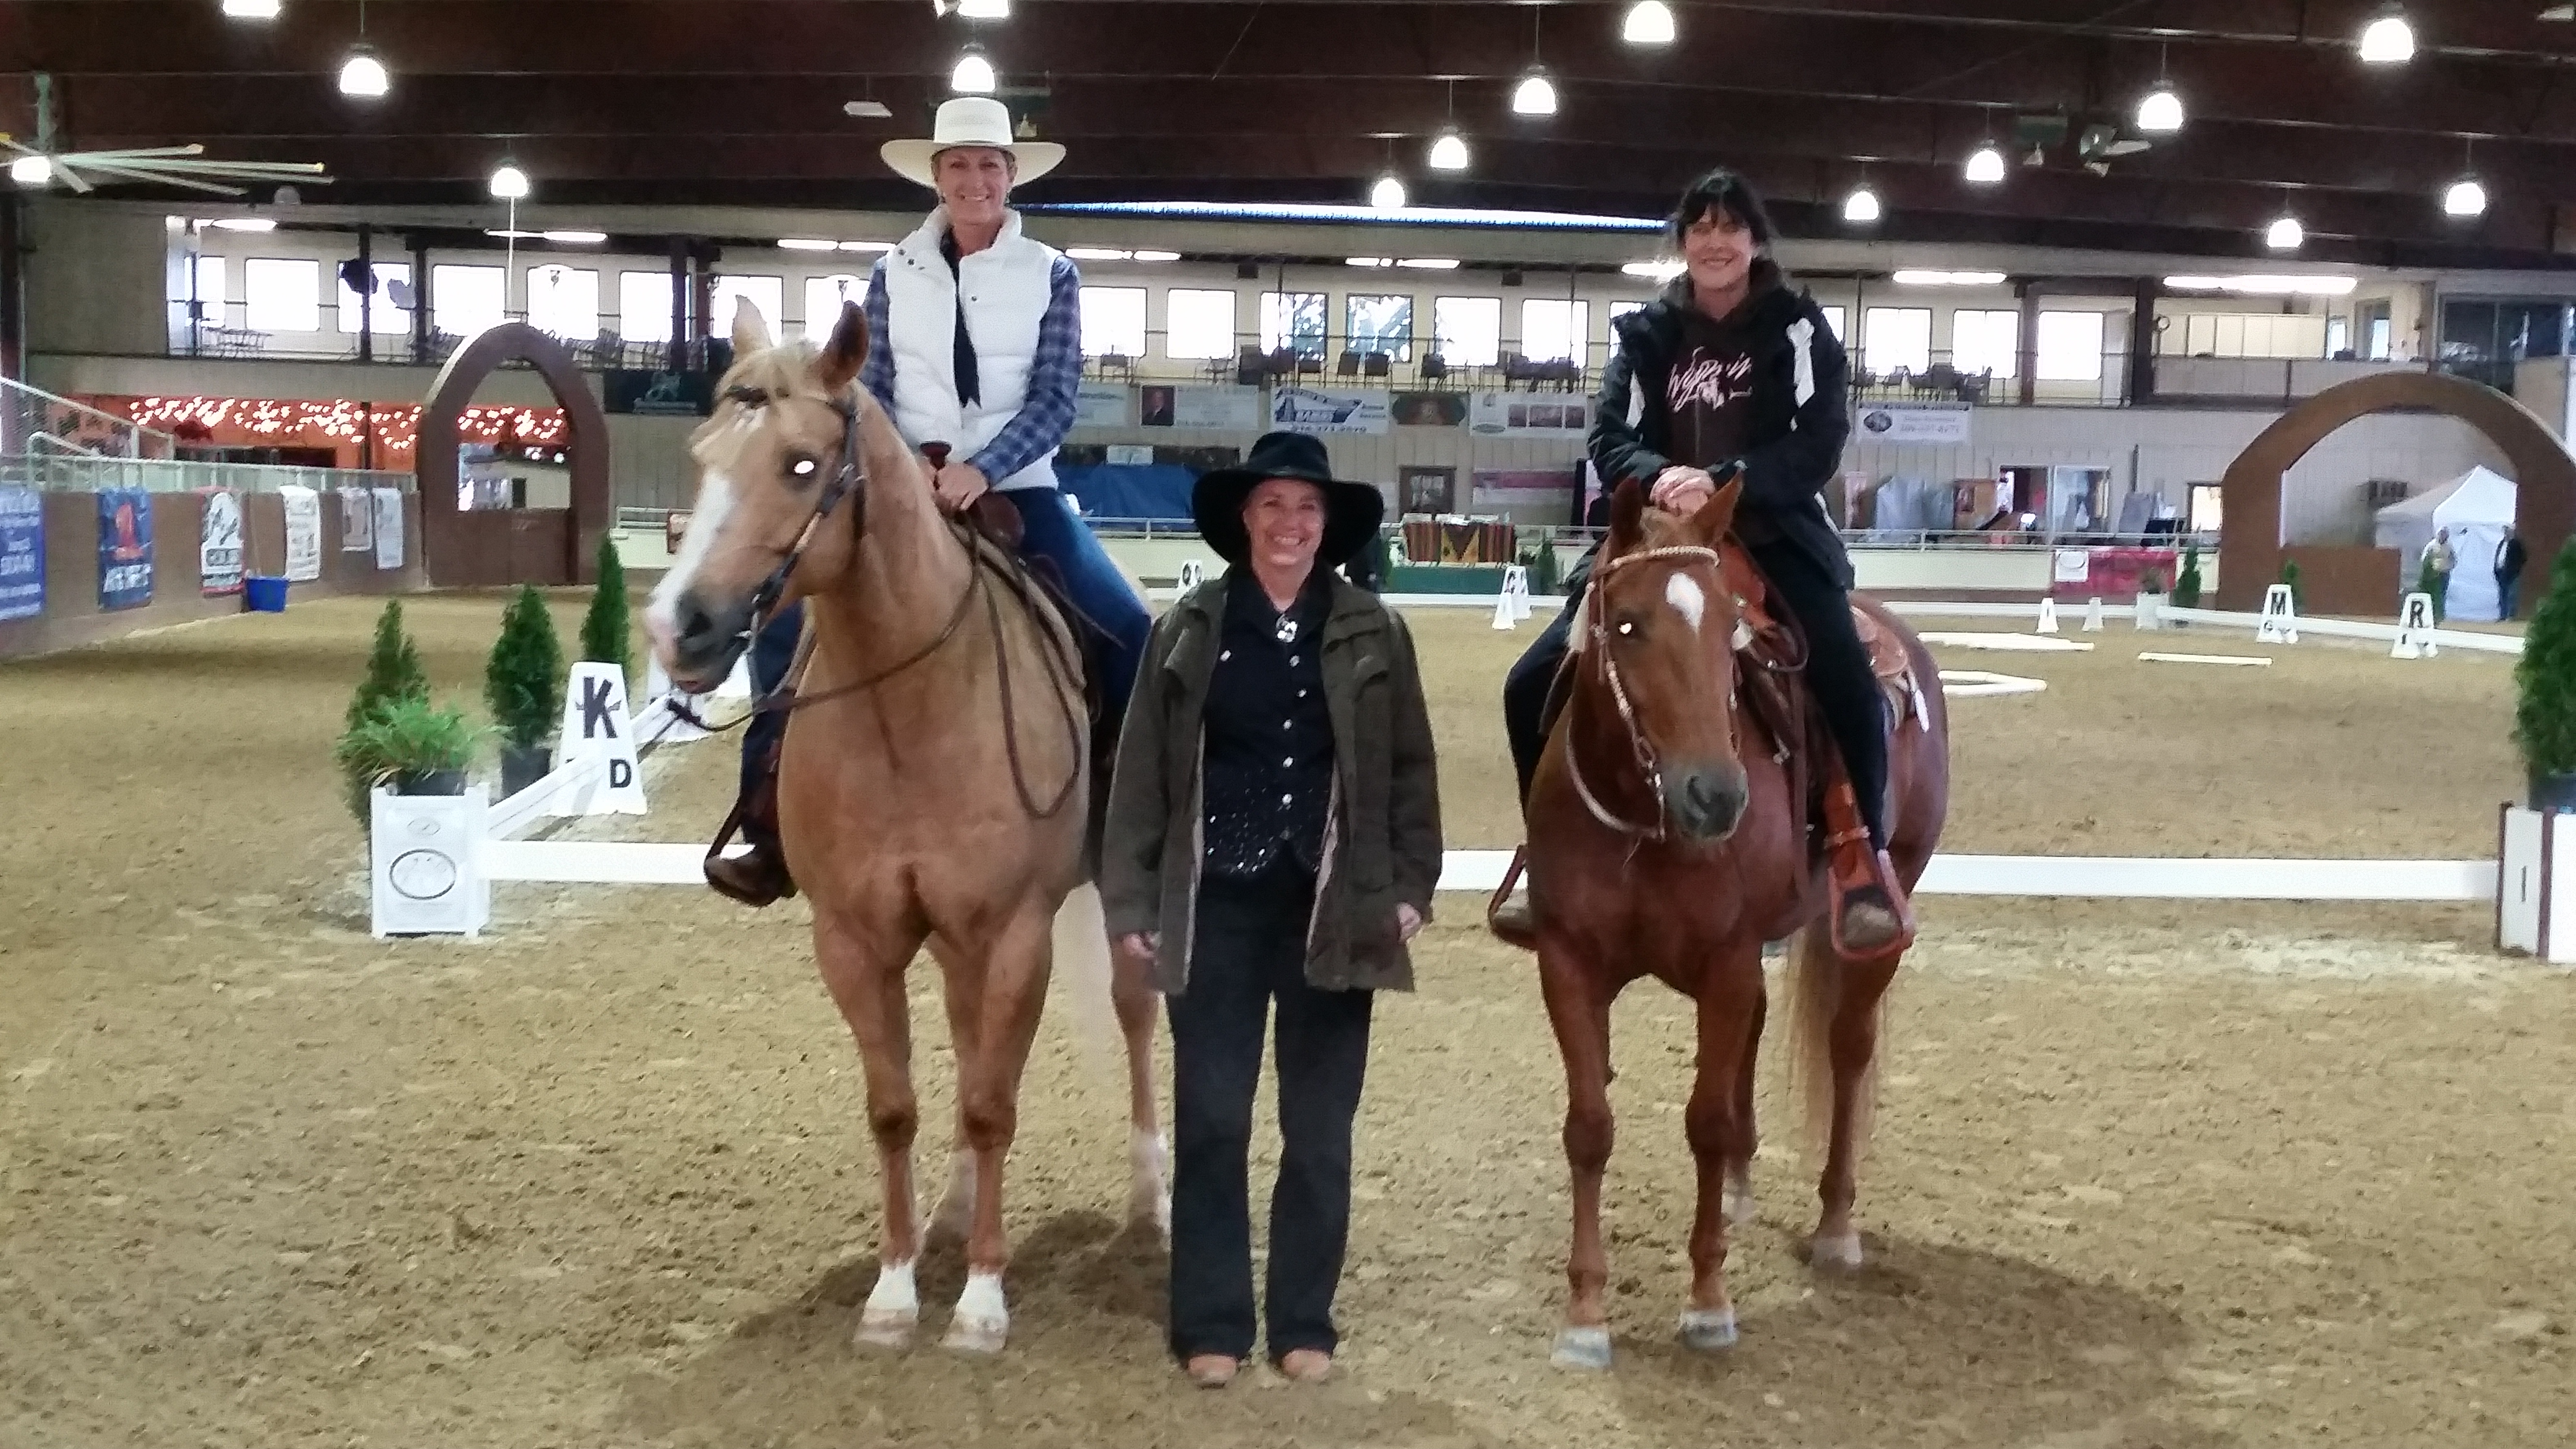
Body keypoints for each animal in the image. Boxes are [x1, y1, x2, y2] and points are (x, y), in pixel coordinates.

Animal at [644, 299, 1169, 1351]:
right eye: (702, 451)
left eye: (803, 463)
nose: (680, 626)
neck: (914, 706)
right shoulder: (854, 937)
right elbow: (900, 1107)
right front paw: (894, 1290)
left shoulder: (1014, 932)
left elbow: (992, 1104)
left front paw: (980, 1302)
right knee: (969, 1046)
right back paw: (957, 1213)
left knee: (1133, 1014)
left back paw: (1149, 1201)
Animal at [1504, 474, 1947, 1361]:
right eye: (1625, 623)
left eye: (1727, 626)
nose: (1715, 795)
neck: (1644, 818)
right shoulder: (1569, 963)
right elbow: (1589, 1125)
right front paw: (1585, 1313)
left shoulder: (1725, 961)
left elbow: (1704, 1122)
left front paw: (1708, 1302)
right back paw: (1743, 1188)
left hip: (1885, 904)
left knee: (1849, 1049)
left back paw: (1835, 1225)